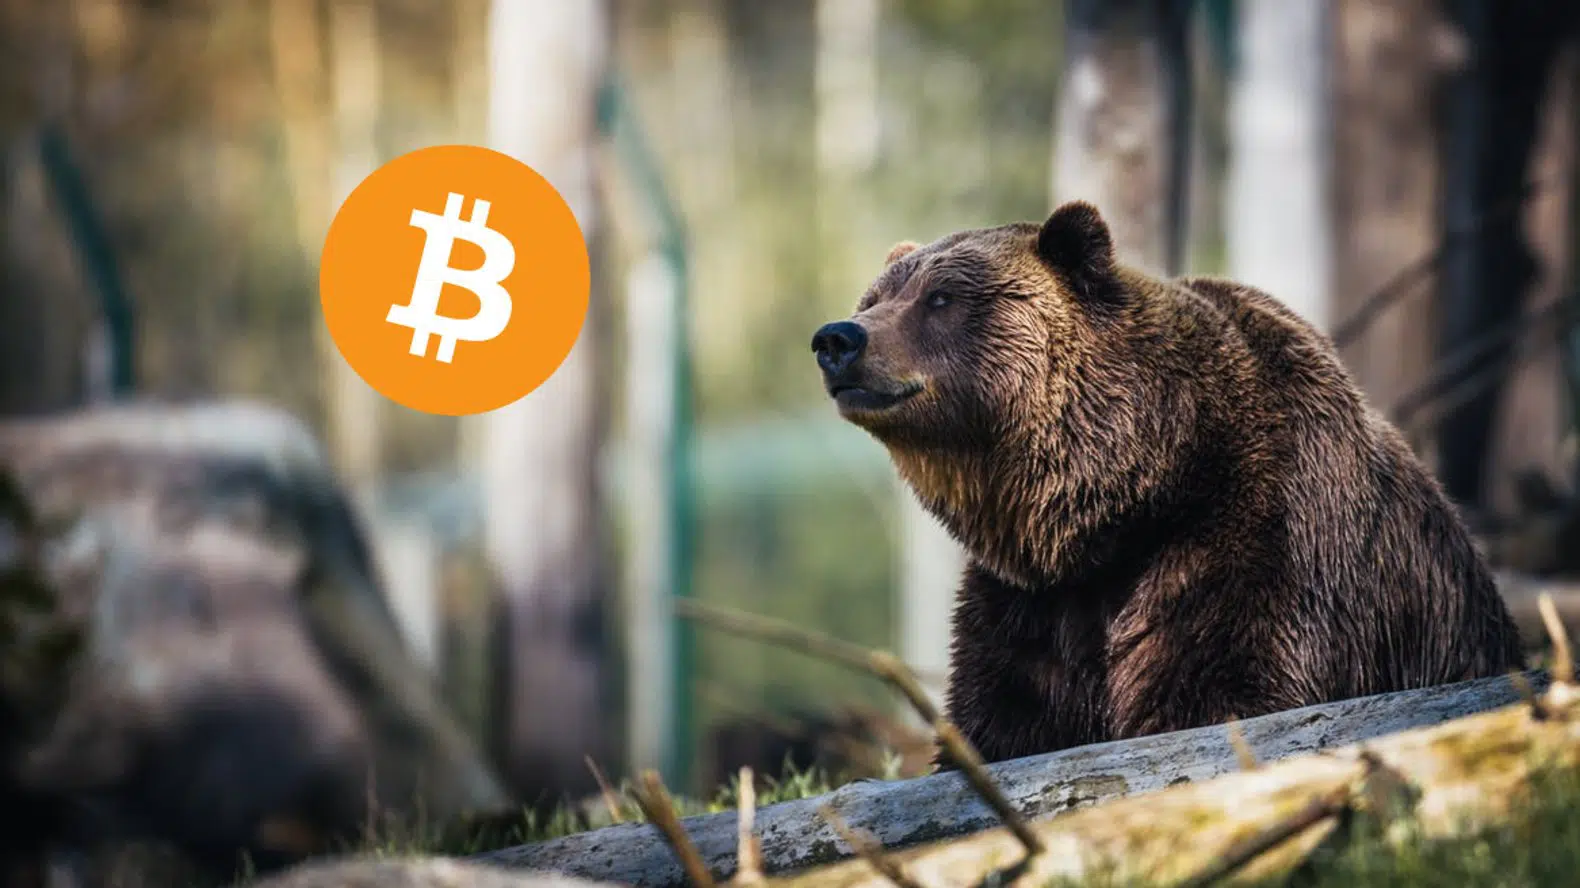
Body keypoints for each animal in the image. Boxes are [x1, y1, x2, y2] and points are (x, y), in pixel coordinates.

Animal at [809, 201, 1527, 767]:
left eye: (942, 298)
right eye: (874, 299)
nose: (838, 338)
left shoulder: (1257, 539)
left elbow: (1219, 691)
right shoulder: (1031, 603)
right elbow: (1005, 718)